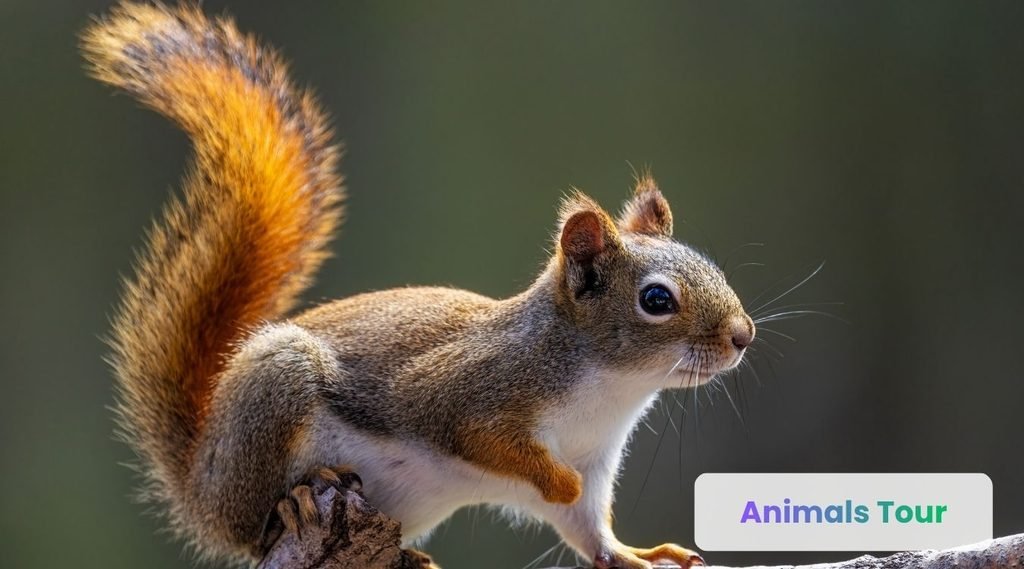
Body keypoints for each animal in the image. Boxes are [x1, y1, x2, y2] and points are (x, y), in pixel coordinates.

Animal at [83, 3, 755, 569]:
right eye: (656, 300)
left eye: (712, 268)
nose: (742, 335)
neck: (609, 389)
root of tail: (200, 485)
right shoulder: (464, 392)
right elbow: (490, 442)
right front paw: (556, 479)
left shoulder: (595, 461)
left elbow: (589, 530)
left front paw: (637, 553)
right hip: (274, 395)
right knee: (255, 525)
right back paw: (299, 497)